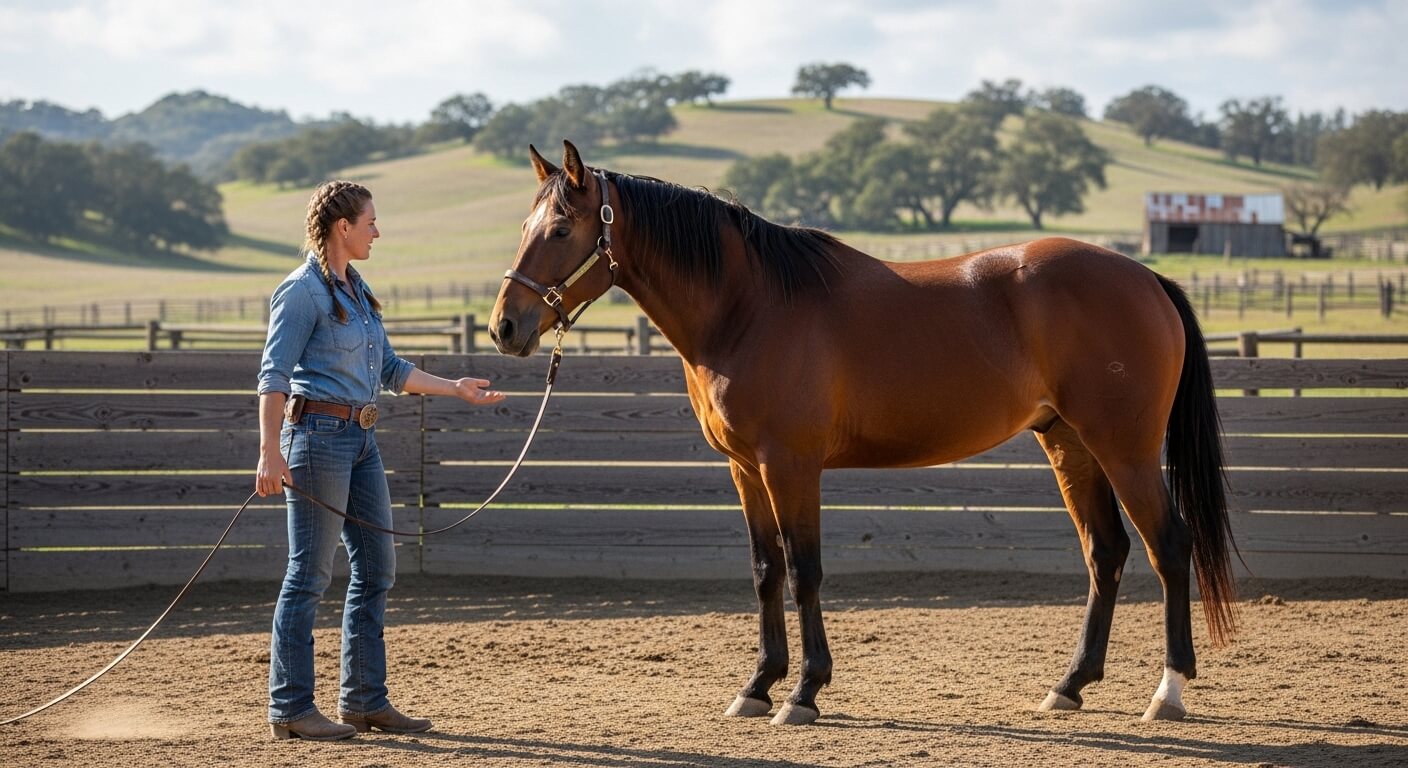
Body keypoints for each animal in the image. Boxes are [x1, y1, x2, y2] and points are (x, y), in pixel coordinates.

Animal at [489, 141, 1238, 726]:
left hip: (1124, 448)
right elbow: (766, 570)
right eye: (526, 222)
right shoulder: (744, 469)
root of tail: (1146, 277)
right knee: (1105, 552)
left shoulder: (790, 466)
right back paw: (1070, 685)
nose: (505, 327)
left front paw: (804, 692)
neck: (749, 307)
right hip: (1069, 444)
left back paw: (1168, 691)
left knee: (1169, 546)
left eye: (561, 228)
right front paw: (757, 687)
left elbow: (805, 571)